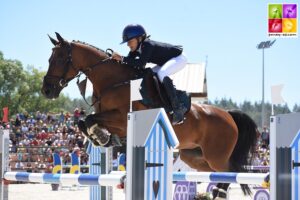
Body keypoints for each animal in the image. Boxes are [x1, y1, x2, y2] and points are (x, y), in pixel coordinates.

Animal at [41, 32, 258, 198]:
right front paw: (103, 138)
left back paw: (219, 193)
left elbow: (89, 119)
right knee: (218, 173)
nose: (46, 91)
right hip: (194, 156)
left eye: (59, 59)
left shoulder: (123, 119)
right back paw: (216, 192)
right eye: (50, 59)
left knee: (231, 170)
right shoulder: (110, 119)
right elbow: (83, 122)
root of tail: (228, 115)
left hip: (216, 155)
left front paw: (101, 136)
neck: (112, 81)